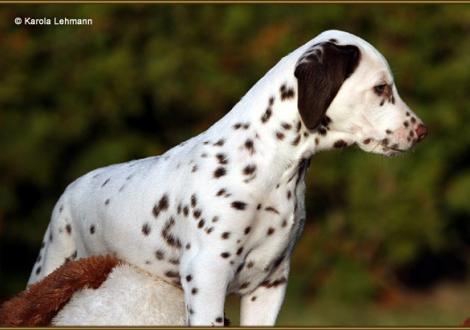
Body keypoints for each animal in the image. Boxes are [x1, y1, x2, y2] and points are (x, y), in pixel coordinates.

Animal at [28, 30, 426, 324]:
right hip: (51, 262)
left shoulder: (270, 282)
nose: (422, 131)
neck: (270, 169)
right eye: (381, 89)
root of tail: (71, 187)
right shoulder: (208, 274)